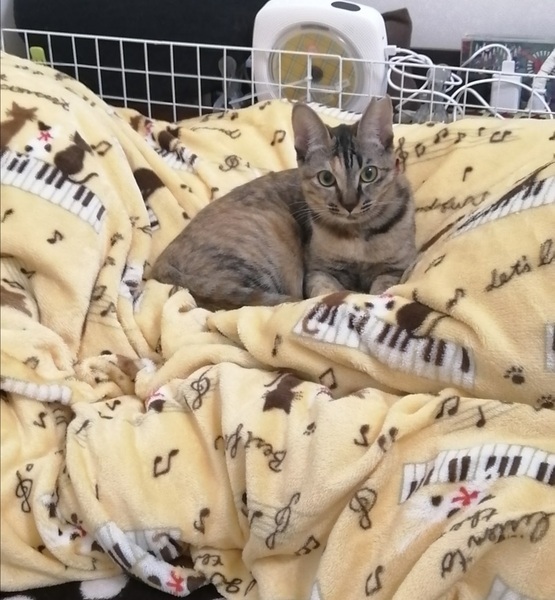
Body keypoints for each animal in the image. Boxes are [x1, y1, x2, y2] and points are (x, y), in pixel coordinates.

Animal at [151, 96, 416, 311]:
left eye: (369, 173)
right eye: (326, 178)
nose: (349, 204)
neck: (358, 239)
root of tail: (161, 262)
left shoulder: (395, 269)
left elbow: (381, 287)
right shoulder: (317, 271)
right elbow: (327, 291)